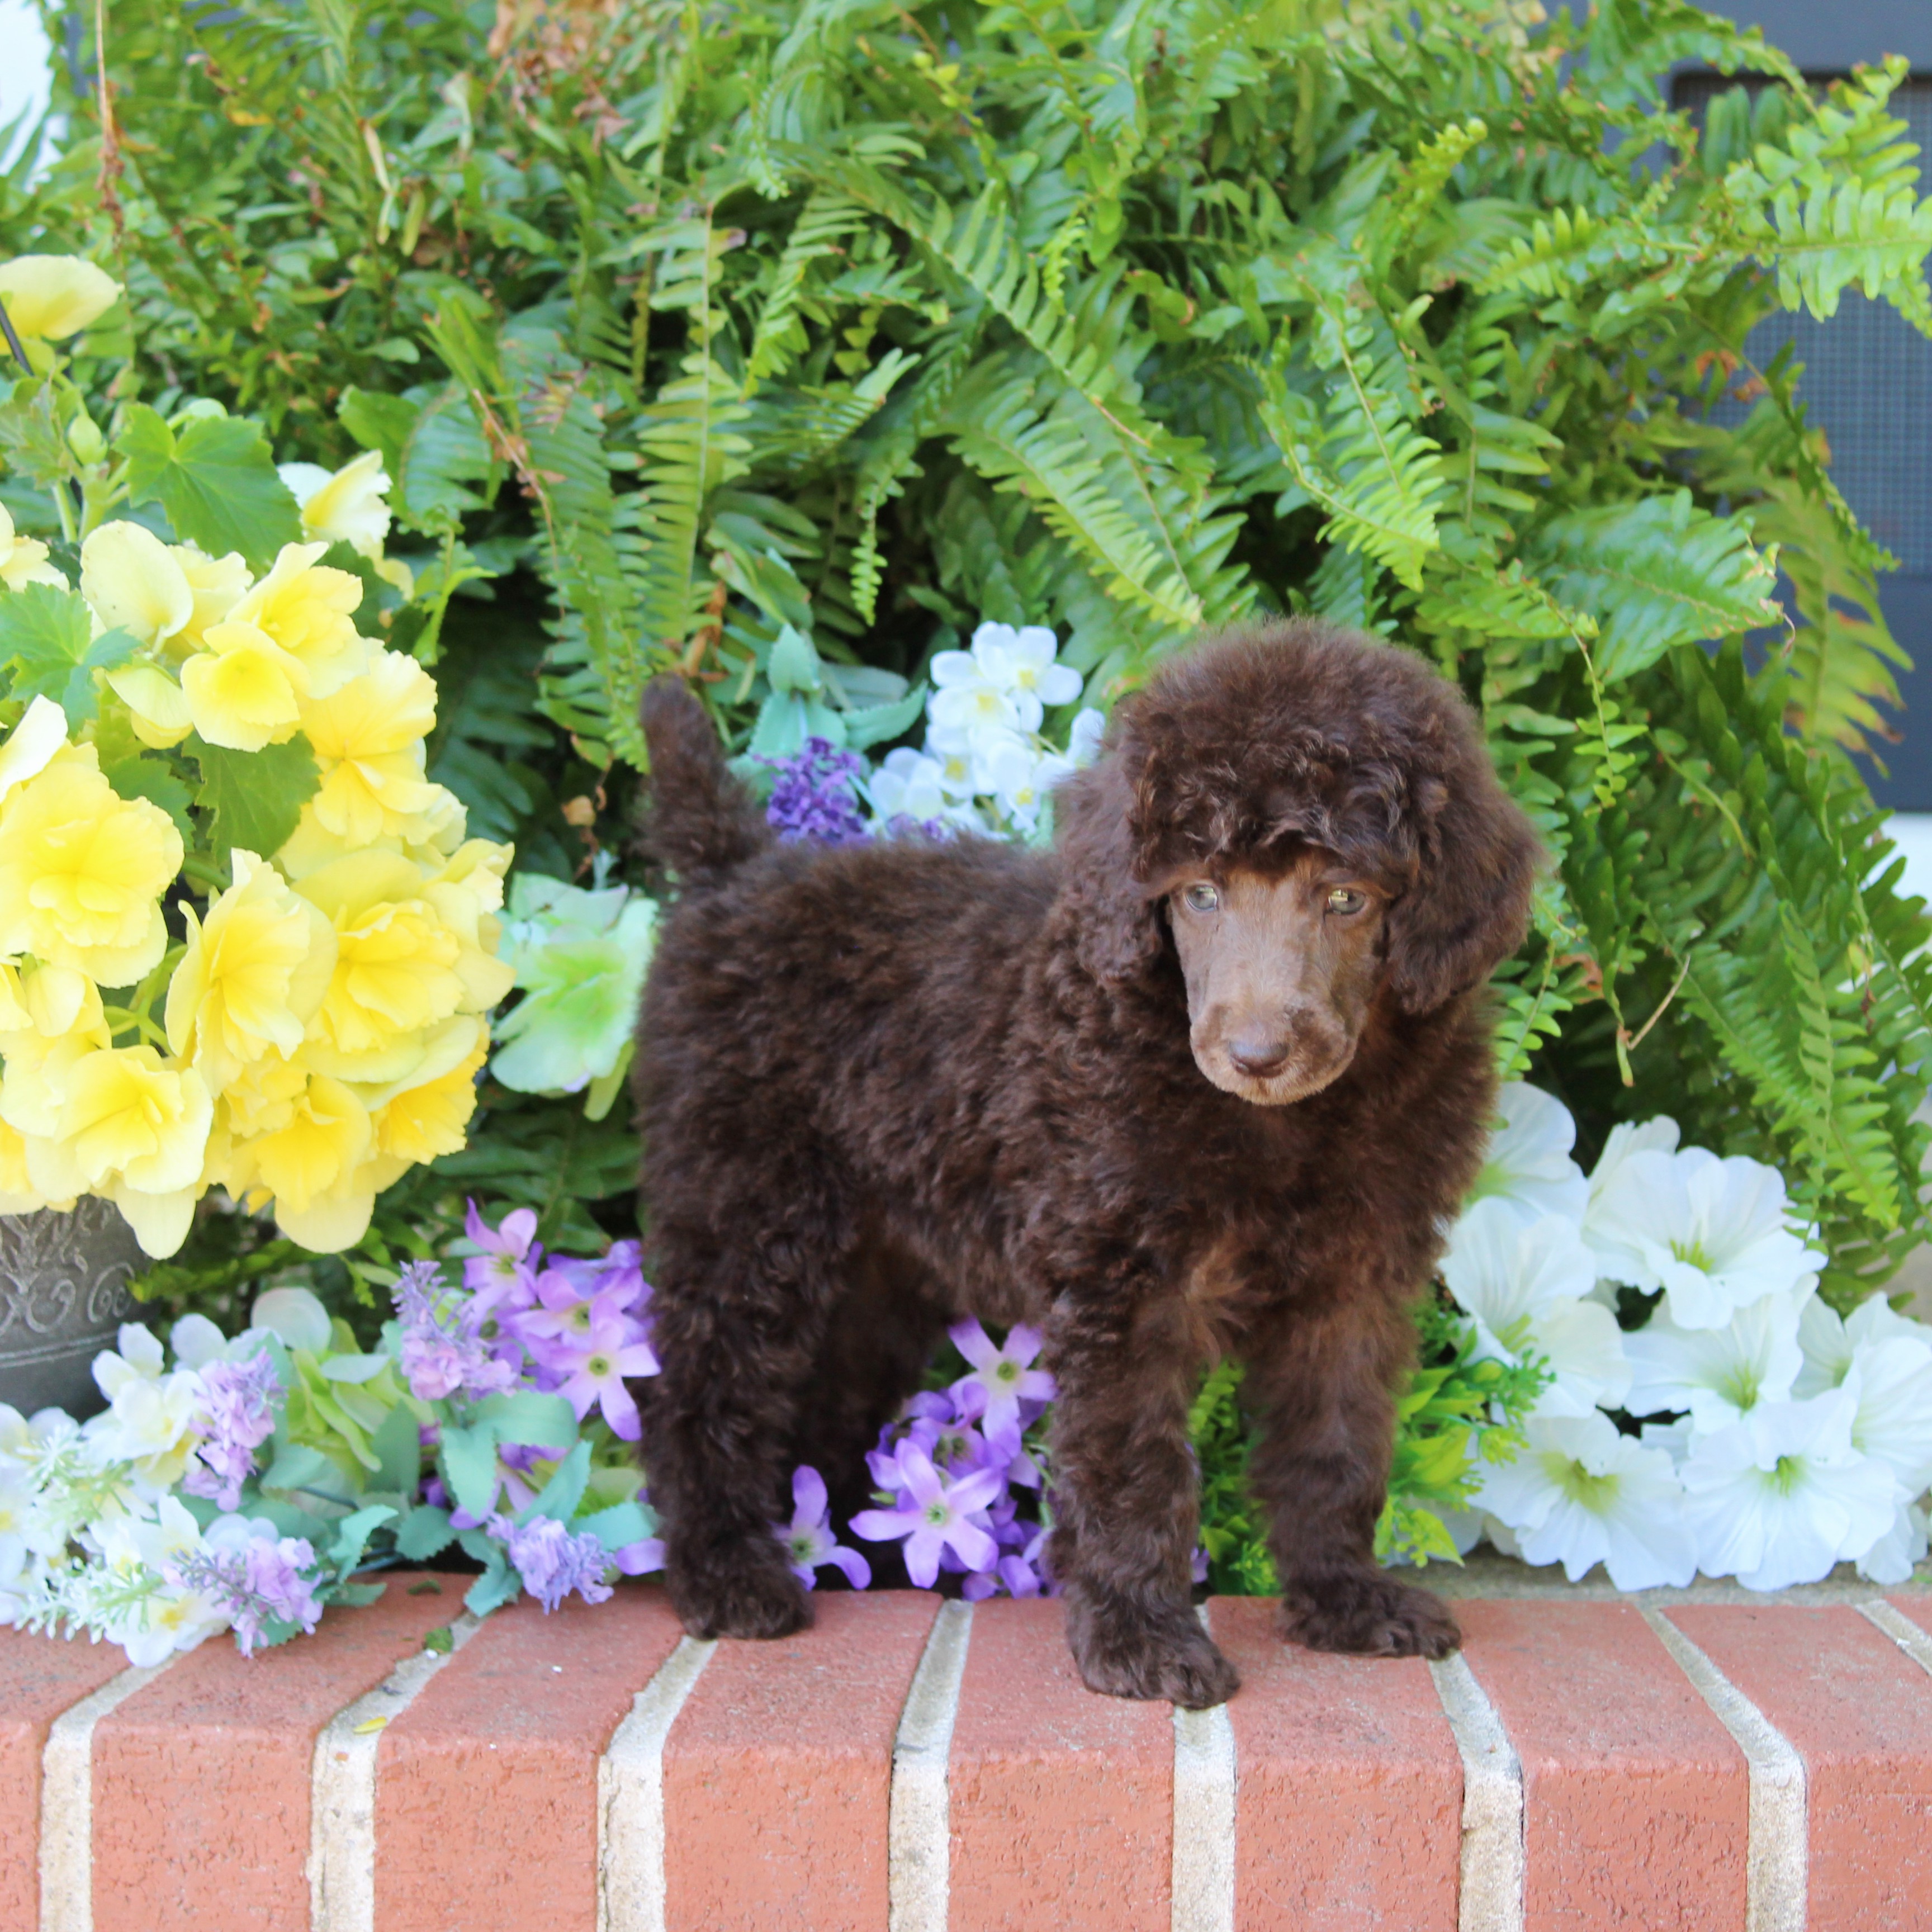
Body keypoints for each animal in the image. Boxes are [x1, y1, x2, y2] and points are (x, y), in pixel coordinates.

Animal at [633, 618, 1537, 1708]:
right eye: (1199, 895)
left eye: (1346, 898)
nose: (1258, 1055)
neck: (1288, 1124)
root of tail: (738, 872)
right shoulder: (1124, 1281)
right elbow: (1135, 1466)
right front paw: (1142, 1639)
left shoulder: (1354, 1283)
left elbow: (1339, 1442)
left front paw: (1344, 1598)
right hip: (743, 1202)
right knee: (703, 1387)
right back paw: (729, 1574)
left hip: (875, 1278)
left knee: (818, 1409)